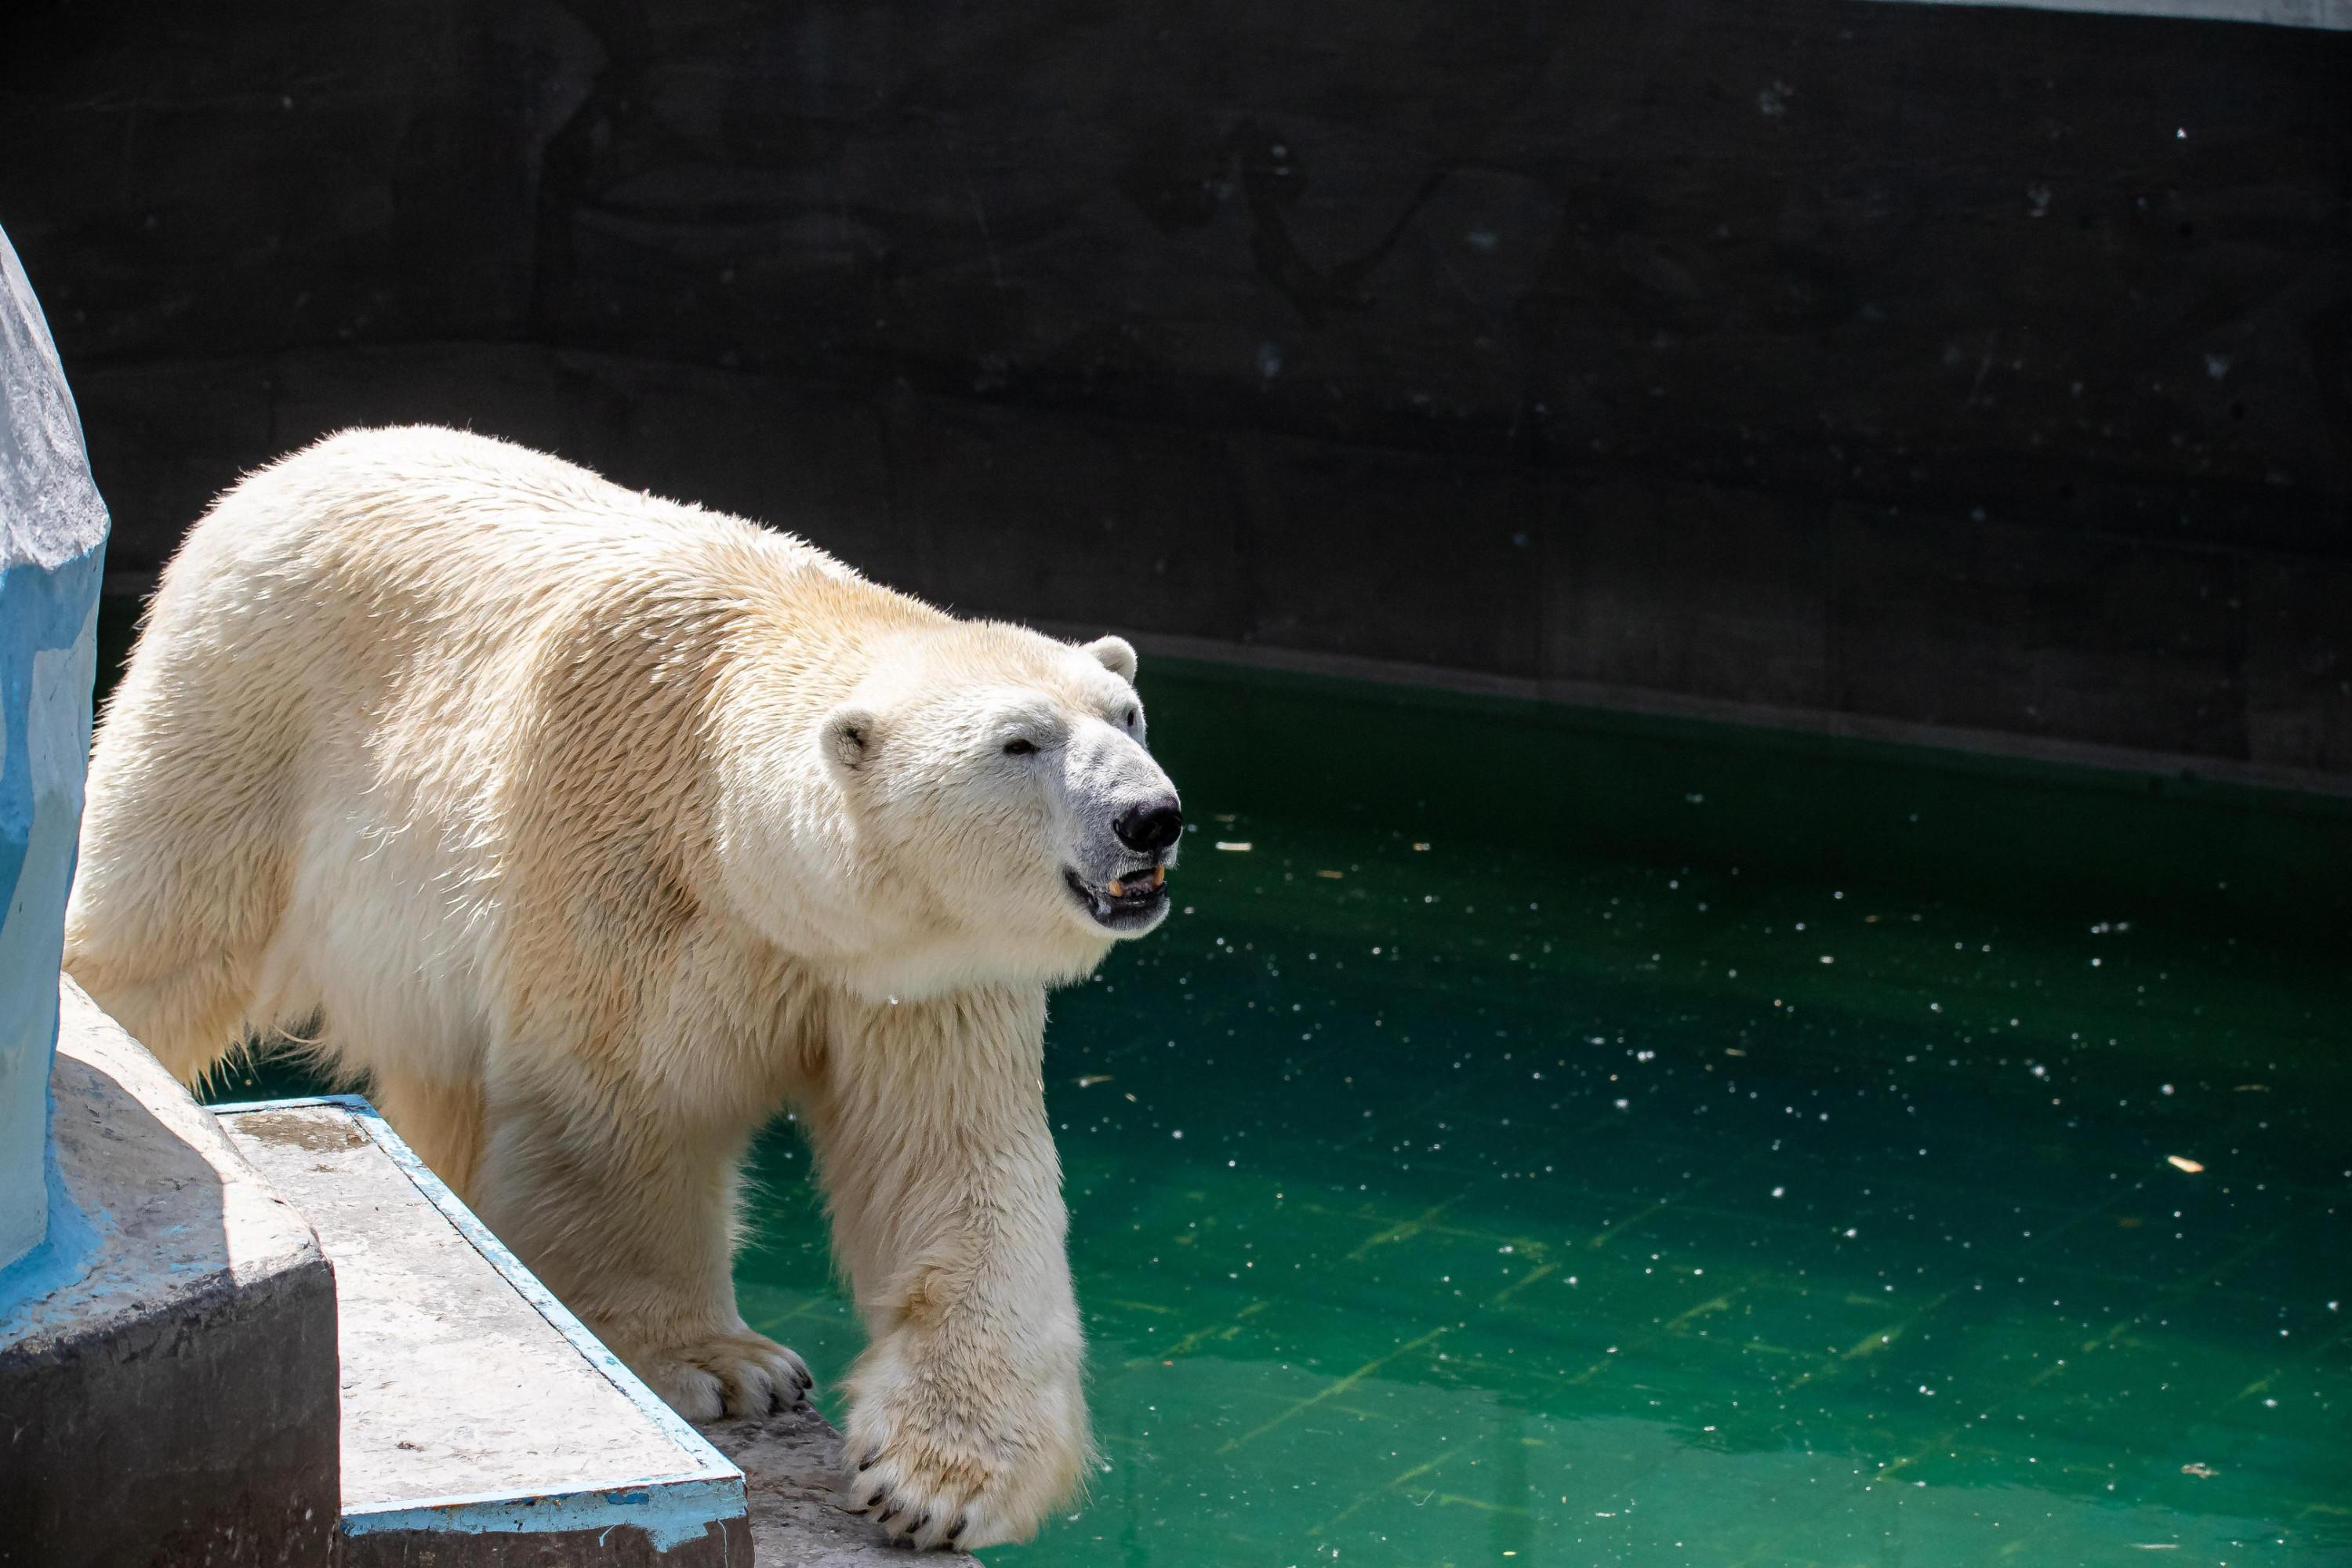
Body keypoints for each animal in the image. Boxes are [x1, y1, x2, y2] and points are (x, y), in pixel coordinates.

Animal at [64, 423, 1185, 1552]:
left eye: (1127, 713)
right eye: (1021, 741)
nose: (1152, 816)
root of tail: (289, 466)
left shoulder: (918, 972)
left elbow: (952, 1165)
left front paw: (936, 1482)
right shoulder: (622, 860)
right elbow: (619, 1116)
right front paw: (720, 1365)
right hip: (240, 710)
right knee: (157, 935)